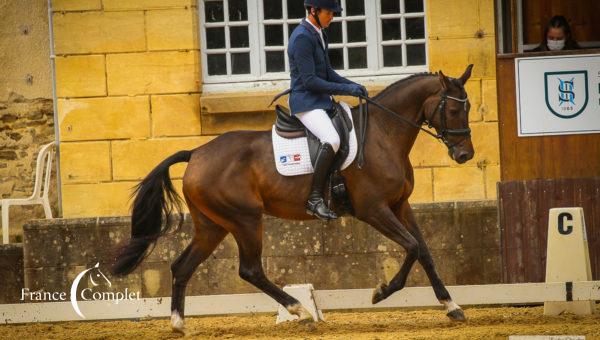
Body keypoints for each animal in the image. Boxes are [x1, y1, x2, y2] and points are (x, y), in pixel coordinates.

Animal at [112, 64, 476, 332]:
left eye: (469, 106)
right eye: (453, 109)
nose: (465, 155)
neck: (383, 135)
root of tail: (197, 152)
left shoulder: (400, 205)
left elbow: (424, 251)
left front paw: (451, 306)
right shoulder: (374, 209)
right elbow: (412, 247)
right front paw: (381, 292)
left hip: (213, 226)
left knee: (182, 266)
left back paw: (178, 324)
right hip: (245, 220)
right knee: (250, 270)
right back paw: (299, 309)